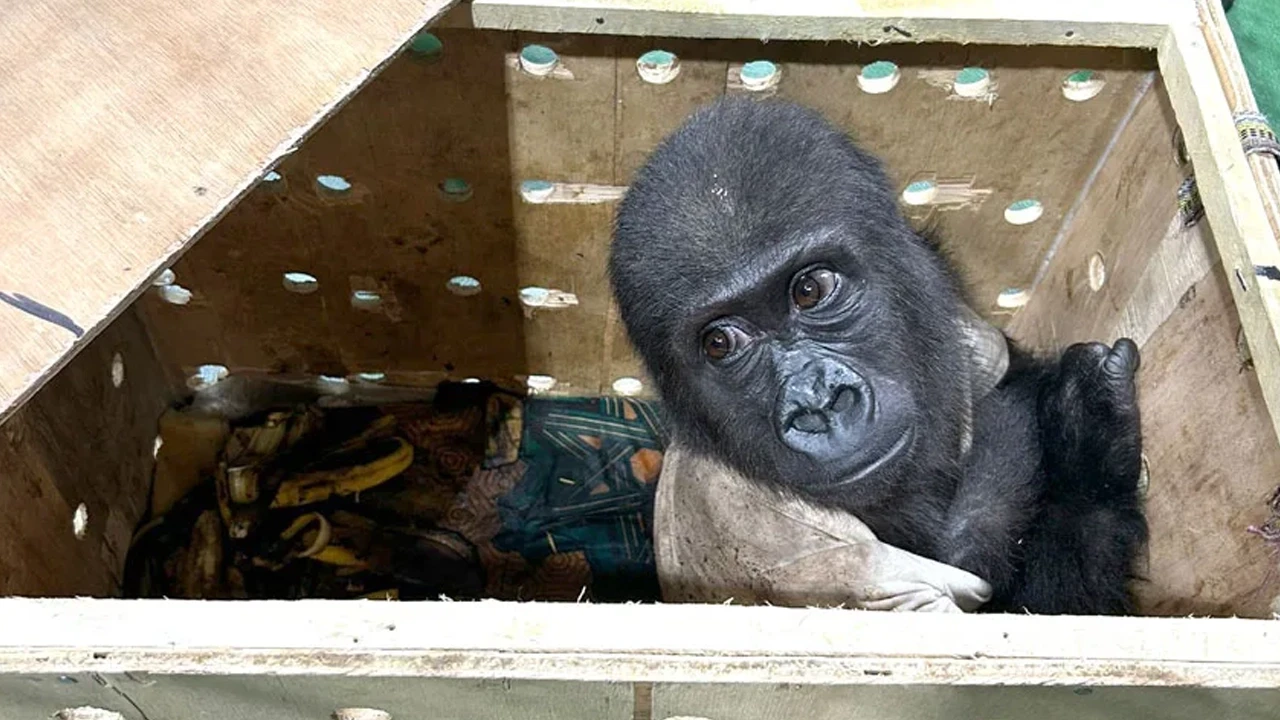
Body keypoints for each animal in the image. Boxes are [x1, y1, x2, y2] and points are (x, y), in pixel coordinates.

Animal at [609, 94, 1152, 609]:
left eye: (810, 290)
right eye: (721, 343)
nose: (817, 402)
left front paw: (1085, 436)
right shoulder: (787, 544)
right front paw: (1088, 455)